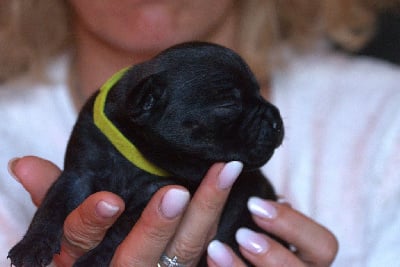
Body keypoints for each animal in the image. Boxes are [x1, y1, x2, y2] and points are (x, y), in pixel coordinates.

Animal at [9, 42, 284, 267]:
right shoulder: (78, 173)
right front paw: (32, 245)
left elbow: (120, 231)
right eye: (228, 105)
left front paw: (93, 261)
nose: (276, 120)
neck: (136, 148)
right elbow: (52, 206)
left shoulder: (156, 194)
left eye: (259, 92)